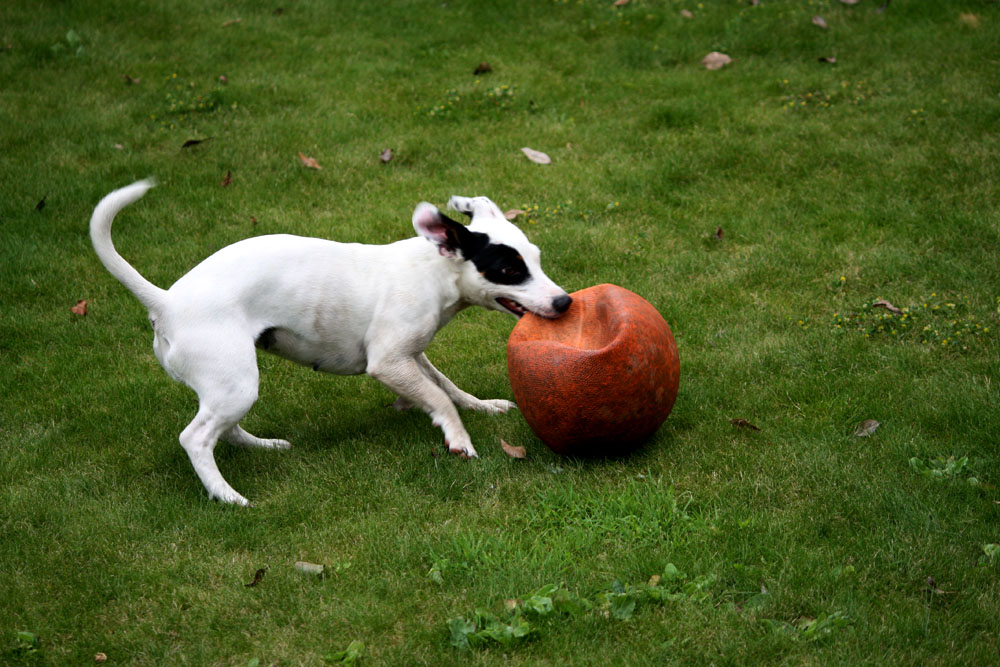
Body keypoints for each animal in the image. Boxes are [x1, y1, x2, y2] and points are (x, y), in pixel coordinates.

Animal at [90, 181, 576, 506]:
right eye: (510, 270)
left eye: (536, 259)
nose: (564, 301)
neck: (433, 270)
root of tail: (166, 301)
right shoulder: (389, 361)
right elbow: (440, 399)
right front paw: (458, 439)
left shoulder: (411, 354)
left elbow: (447, 386)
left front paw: (485, 407)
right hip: (236, 382)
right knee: (196, 438)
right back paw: (228, 496)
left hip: (228, 389)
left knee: (222, 430)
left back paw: (265, 447)